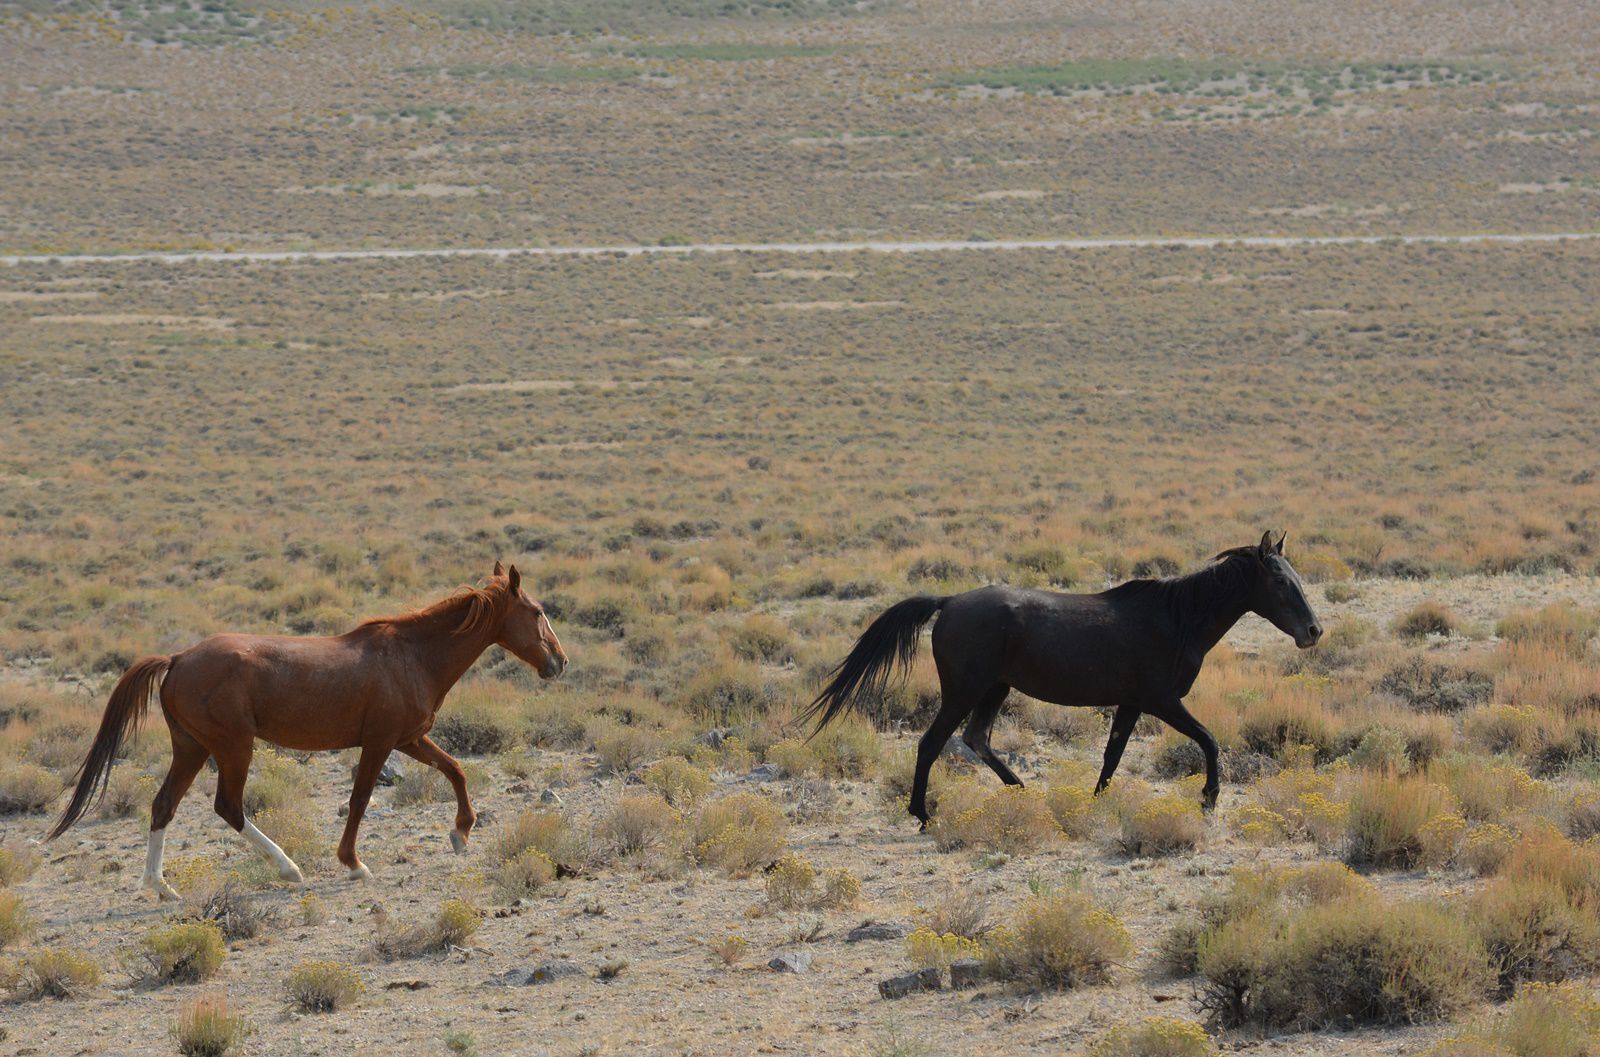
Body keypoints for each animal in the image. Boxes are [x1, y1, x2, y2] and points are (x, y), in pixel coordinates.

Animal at [48, 559, 569, 901]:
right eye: (538, 611)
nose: (560, 662)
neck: (415, 655)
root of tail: (177, 659)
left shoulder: (409, 739)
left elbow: (455, 769)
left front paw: (461, 833)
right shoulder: (380, 743)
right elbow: (360, 800)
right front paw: (354, 865)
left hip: (191, 747)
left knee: (163, 806)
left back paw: (160, 887)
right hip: (233, 747)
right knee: (228, 807)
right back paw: (289, 869)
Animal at [806, 530, 1318, 818]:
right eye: (1279, 580)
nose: (1314, 631)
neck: (1177, 618)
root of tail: (948, 602)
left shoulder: (1132, 703)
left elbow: (1112, 756)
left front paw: (1097, 801)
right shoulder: (1162, 701)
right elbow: (1209, 739)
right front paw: (1209, 799)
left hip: (995, 688)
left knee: (976, 739)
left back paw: (1020, 791)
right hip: (963, 690)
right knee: (933, 743)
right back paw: (921, 815)